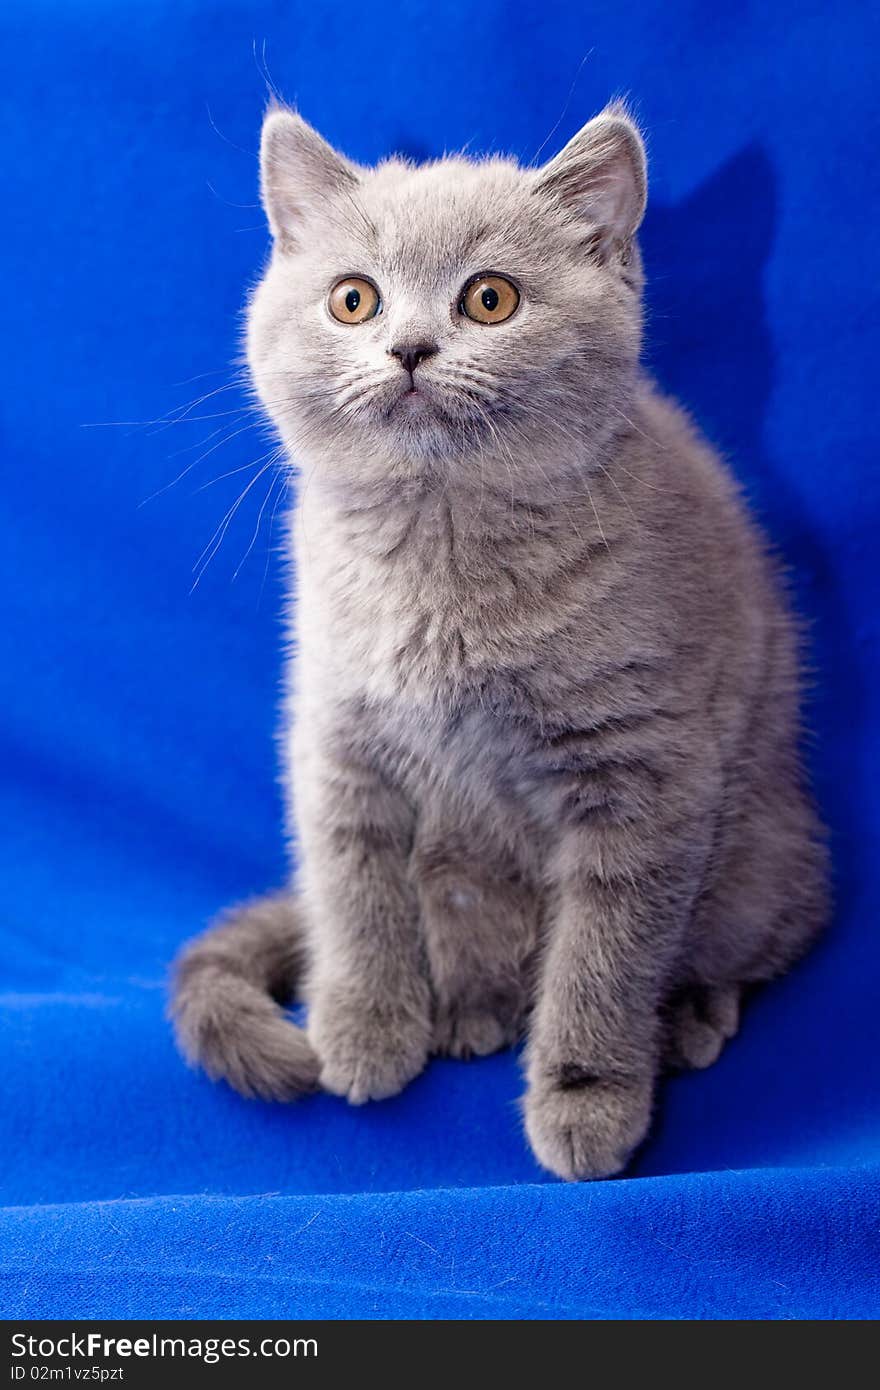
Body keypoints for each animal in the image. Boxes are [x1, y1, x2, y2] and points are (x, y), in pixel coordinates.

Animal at [169, 102, 823, 1178]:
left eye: (489, 299)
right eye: (353, 299)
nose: (408, 349)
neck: (439, 561)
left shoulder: (642, 778)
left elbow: (603, 957)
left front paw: (586, 1103)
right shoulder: (335, 735)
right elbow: (351, 893)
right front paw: (363, 1033)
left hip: (761, 855)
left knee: (754, 945)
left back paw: (687, 1016)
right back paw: (469, 1015)